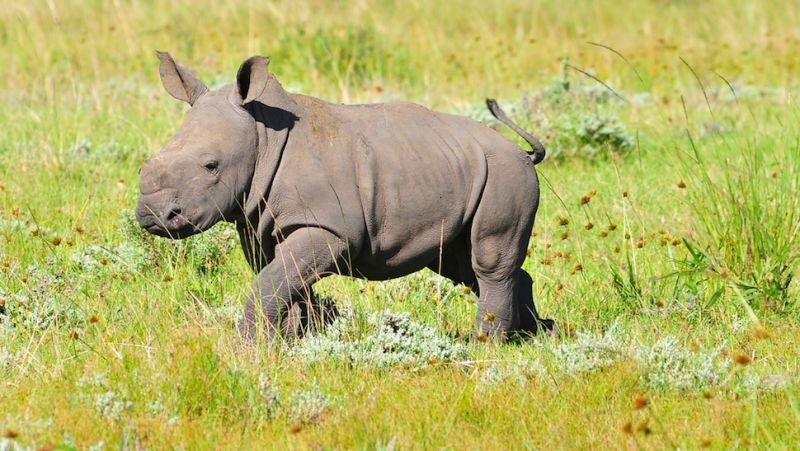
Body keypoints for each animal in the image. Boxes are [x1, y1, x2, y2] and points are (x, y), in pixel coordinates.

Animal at [134, 52, 552, 342]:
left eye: (211, 166)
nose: (152, 214)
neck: (263, 138)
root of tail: (519, 152)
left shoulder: (327, 229)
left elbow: (270, 284)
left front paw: (246, 348)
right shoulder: (256, 222)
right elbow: (283, 284)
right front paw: (289, 341)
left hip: (504, 176)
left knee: (486, 264)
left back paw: (487, 344)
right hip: (463, 173)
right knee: (459, 263)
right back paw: (535, 335)